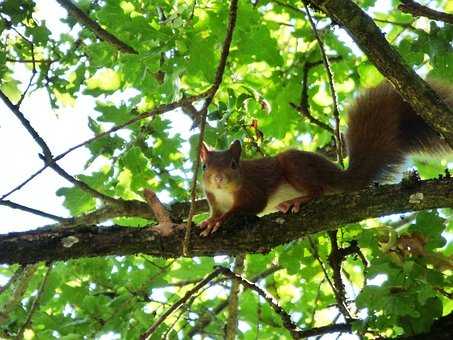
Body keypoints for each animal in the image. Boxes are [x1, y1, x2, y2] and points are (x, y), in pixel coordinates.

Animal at [199, 81, 452, 236]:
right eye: (204, 166)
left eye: (234, 165)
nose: (219, 178)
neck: (224, 193)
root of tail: (339, 176)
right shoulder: (212, 198)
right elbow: (216, 211)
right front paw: (211, 220)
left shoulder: (253, 188)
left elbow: (250, 206)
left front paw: (223, 219)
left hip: (295, 165)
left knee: (318, 189)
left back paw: (299, 200)